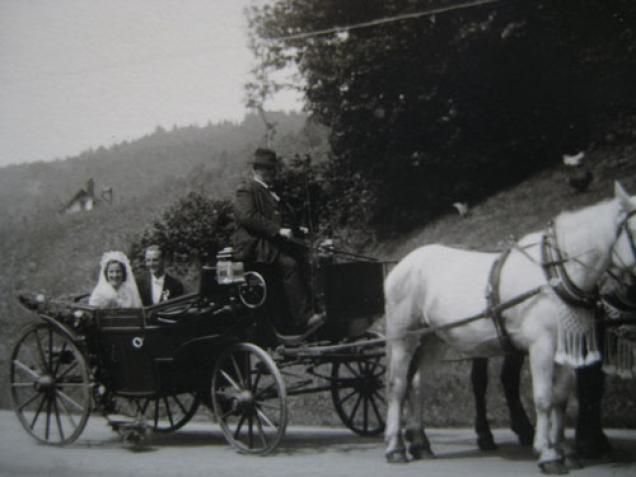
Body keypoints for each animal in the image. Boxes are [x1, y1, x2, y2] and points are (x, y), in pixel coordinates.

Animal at [382, 182, 636, 472]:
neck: (554, 274)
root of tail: (403, 264)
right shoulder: (541, 346)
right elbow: (543, 398)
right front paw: (548, 454)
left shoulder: (564, 346)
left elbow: (560, 399)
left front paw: (564, 450)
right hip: (403, 335)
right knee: (397, 384)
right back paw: (395, 447)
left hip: (433, 338)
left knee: (417, 384)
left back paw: (420, 443)